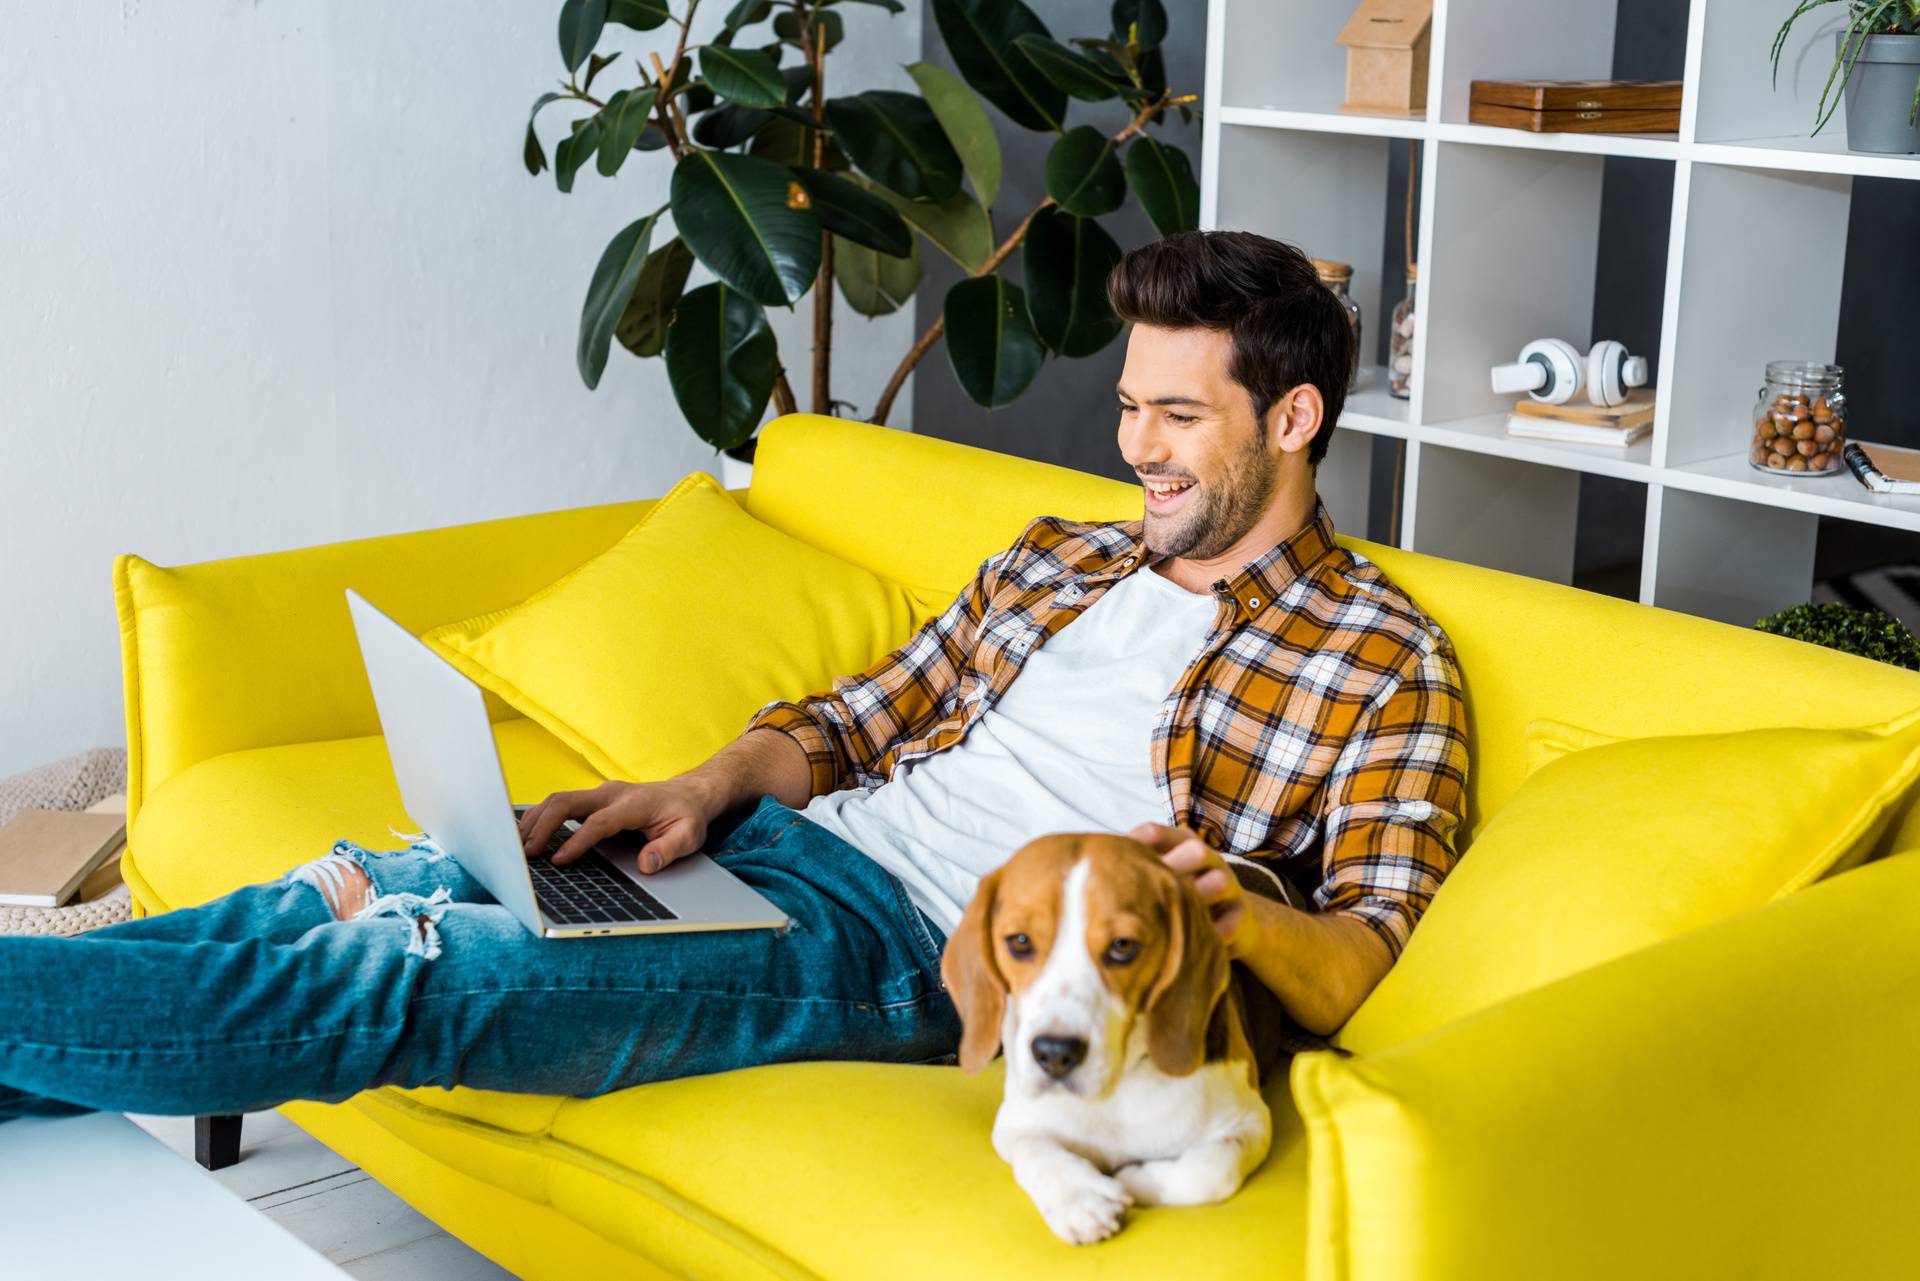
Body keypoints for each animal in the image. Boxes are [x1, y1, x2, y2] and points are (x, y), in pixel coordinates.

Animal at [936, 833, 1267, 1244]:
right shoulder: (1014, 1122)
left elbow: (1211, 1170)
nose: (1054, 1054)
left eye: (1123, 946)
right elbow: (1036, 1149)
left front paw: (1136, 1179)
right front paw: (1079, 1197)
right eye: (1020, 942)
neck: (1116, 1089)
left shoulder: (1252, 1121)